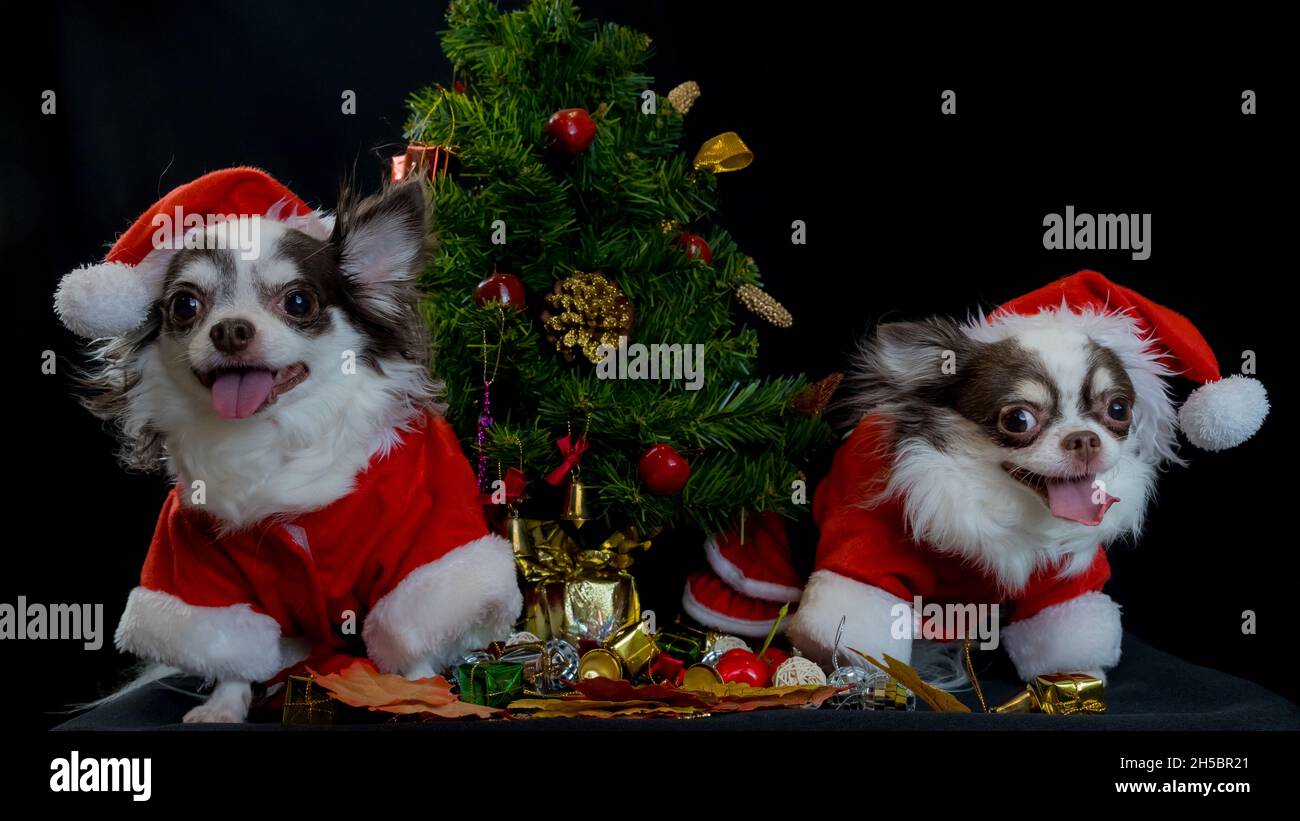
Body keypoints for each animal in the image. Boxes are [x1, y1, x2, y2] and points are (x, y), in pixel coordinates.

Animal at [780, 272, 1268, 680]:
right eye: (1018, 420)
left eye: (1118, 409)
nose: (1083, 439)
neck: (1001, 509)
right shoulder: (871, 548)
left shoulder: (1061, 580)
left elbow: (1065, 626)